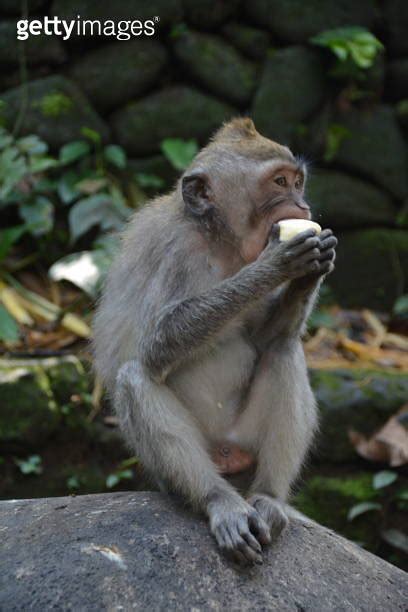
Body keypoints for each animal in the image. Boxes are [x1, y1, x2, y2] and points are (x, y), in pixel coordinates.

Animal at [93, 117, 338, 568]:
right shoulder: (175, 250)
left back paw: (269, 498)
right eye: (280, 182)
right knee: (136, 376)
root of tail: (228, 454)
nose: (303, 208)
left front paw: (311, 271)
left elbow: (268, 337)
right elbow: (157, 345)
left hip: (245, 438)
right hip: (179, 467)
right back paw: (219, 501)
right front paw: (278, 262)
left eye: (298, 183)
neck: (218, 241)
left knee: (283, 350)